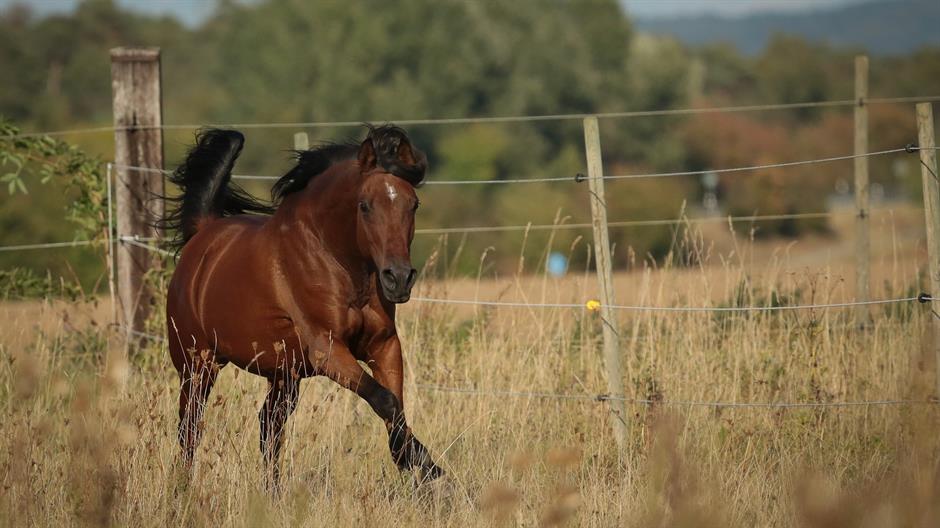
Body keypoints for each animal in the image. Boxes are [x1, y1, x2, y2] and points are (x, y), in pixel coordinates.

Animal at [163, 124, 443, 489]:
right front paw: (426, 465)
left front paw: (421, 467)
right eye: (365, 205)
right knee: (190, 428)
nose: (398, 278)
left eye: (414, 204)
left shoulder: (384, 345)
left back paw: (271, 492)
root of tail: (204, 232)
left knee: (269, 426)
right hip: (197, 363)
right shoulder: (328, 351)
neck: (335, 260)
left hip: (284, 374)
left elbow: (395, 407)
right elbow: (385, 400)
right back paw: (182, 490)